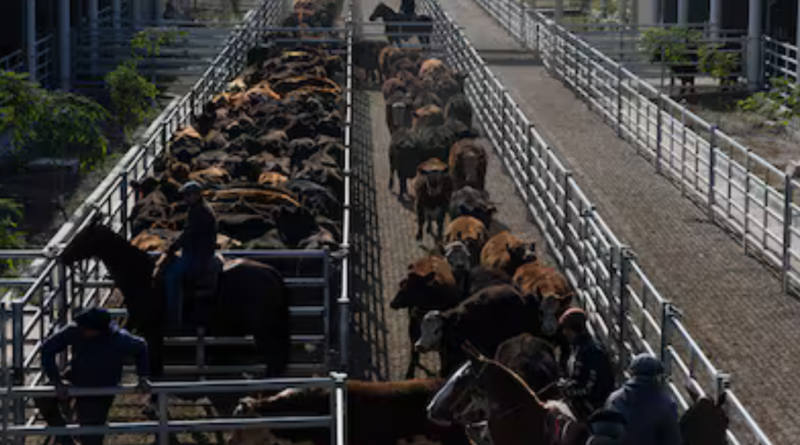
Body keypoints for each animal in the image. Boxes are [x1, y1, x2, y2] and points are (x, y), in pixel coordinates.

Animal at [59, 213, 292, 384]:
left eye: (81, 237)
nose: (62, 256)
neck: (142, 276)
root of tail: (271, 273)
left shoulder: (152, 331)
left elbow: (155, 369)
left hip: (263, 331)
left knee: (274, 362)